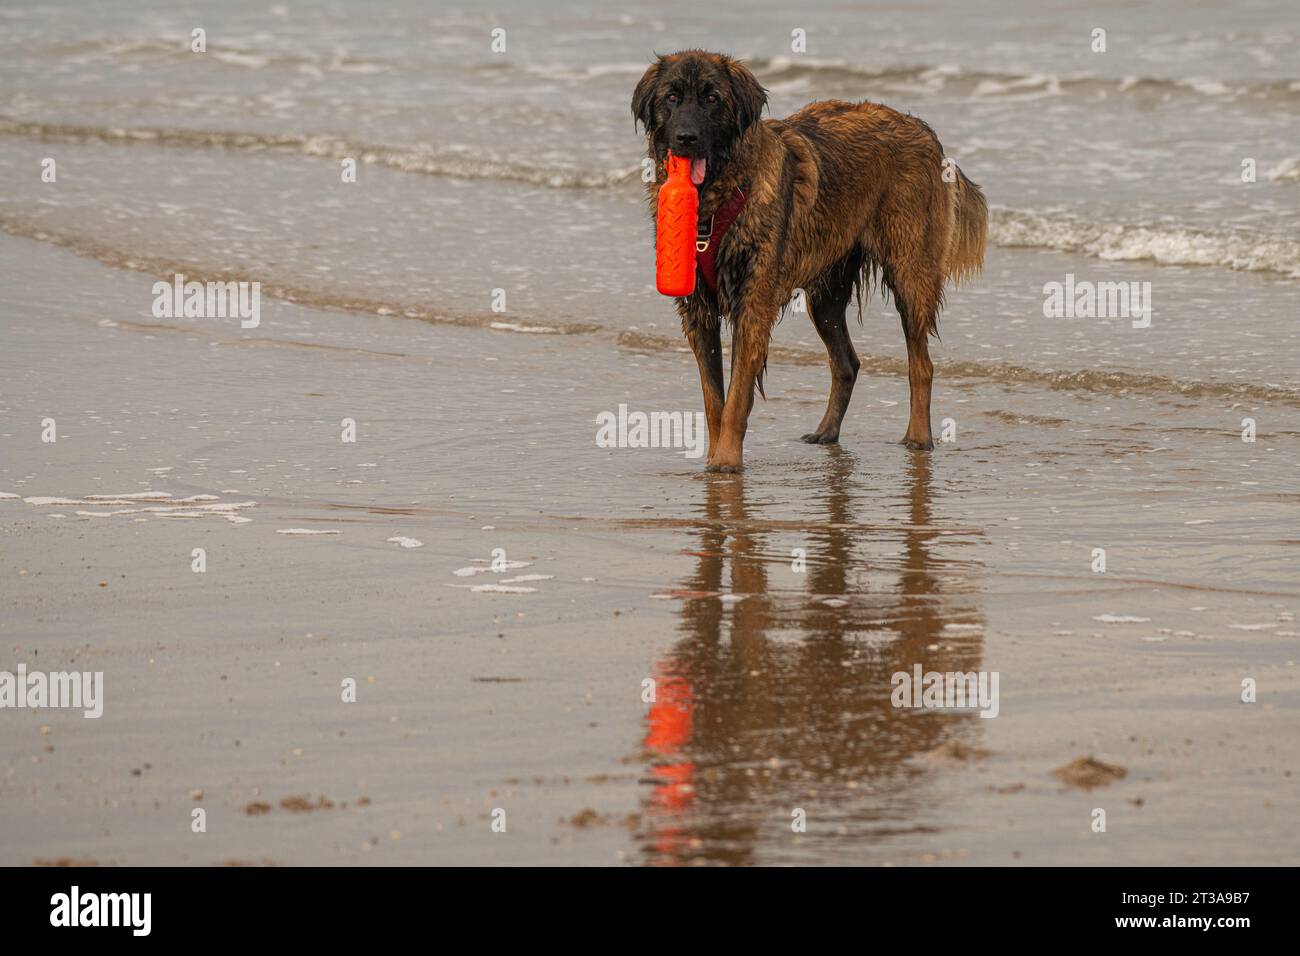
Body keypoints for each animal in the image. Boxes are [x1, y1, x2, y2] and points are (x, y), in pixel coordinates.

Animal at [631, 48, 982, 476]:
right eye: (671, 98)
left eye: (712, 98)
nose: (686, 139)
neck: (716, 204)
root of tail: (923, 130)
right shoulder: (699, 311)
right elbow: (714, 398)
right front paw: (716, 461)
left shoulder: (754, 307)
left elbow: (736, 398)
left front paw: (727, 461)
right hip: (826, 296)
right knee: (847, 363)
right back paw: (826, 433)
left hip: (910, 273)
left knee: (922, 365)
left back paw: (918, 437)